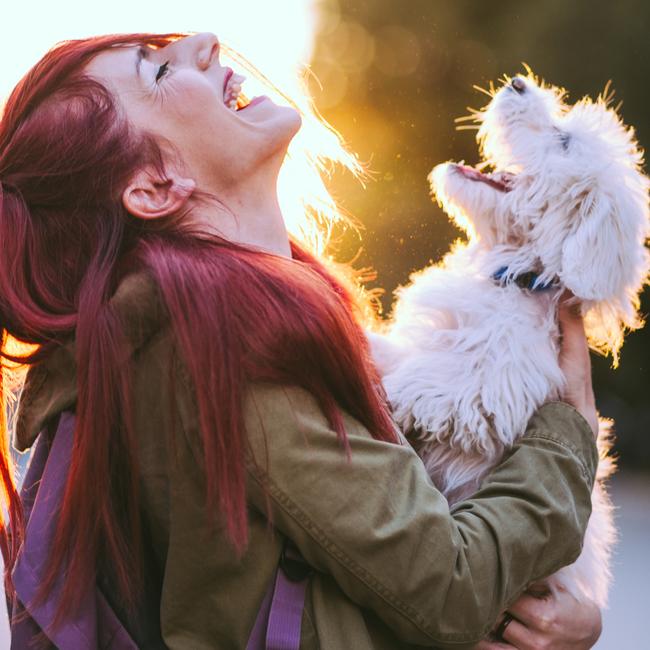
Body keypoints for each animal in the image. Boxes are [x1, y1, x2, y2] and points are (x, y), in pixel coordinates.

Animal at [370, 72, 648, 608]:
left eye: (563, 141)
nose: (518, 82)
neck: (515, 275)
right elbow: (401, 350)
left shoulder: (497, 388)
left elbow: (441, 384)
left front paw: (392, 389)